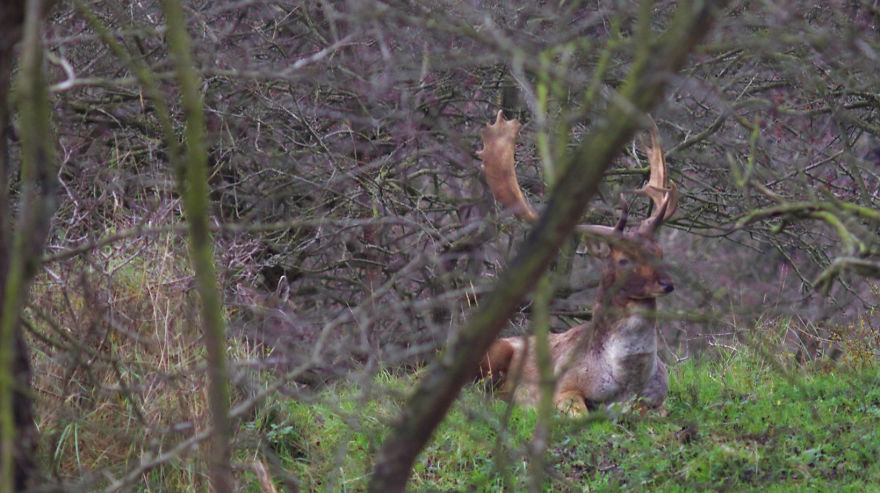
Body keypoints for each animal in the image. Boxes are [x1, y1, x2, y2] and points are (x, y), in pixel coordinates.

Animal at [476, 110, 678, 413]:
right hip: (495, 352)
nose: (666, 284)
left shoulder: (660, 398)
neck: (627, 382)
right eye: (623, 260)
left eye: (660, 251)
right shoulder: (565, 386)